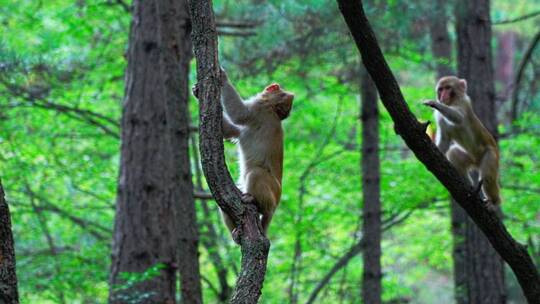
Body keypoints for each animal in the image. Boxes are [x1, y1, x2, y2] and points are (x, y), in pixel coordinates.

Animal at [217, 69, 294, 240]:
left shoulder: (259, 108)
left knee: (256, 173)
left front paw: (223, 78)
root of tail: (276, 204)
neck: (272, 110)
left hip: (271, 190)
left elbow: (239, 113)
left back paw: (256, 203)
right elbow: (231, 131)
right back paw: (237, 233)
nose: (274, 85)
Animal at [422, 76, 502, 208]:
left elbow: (458, 117)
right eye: (441, 89)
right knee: (454, 153)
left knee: (487, 178)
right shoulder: (439, 117)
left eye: (448, 88)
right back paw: (469, 186)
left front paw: (434, 103)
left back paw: (494, 202)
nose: (442, 96)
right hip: (472, 158)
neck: (453, 102)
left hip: (491, 155)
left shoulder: (464, 103)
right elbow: (445, 140)